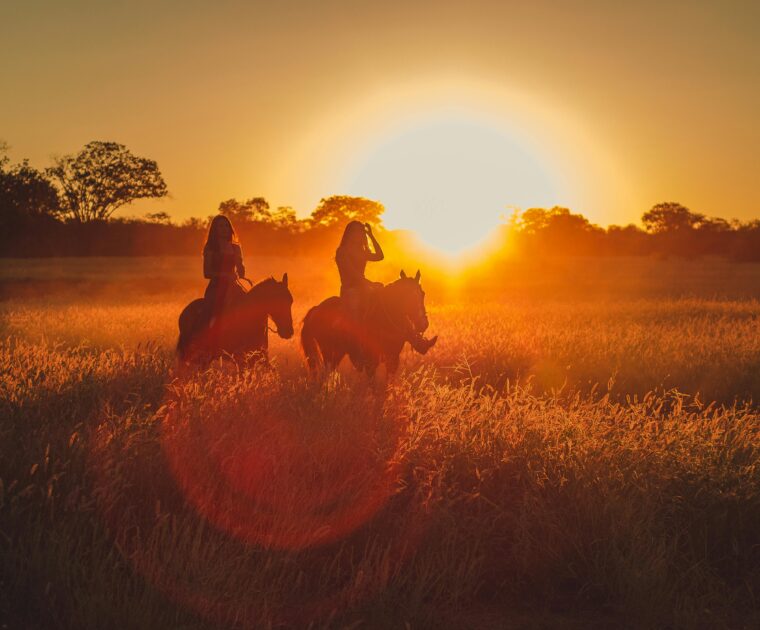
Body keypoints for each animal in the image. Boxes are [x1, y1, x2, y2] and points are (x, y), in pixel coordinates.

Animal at [301, 269, 430, 375]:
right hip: (329, 352)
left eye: (423, 294)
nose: (423, 324)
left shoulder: (392, 359)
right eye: (408, 296)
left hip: (337, 353)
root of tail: (315, 309)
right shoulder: (371, 362)